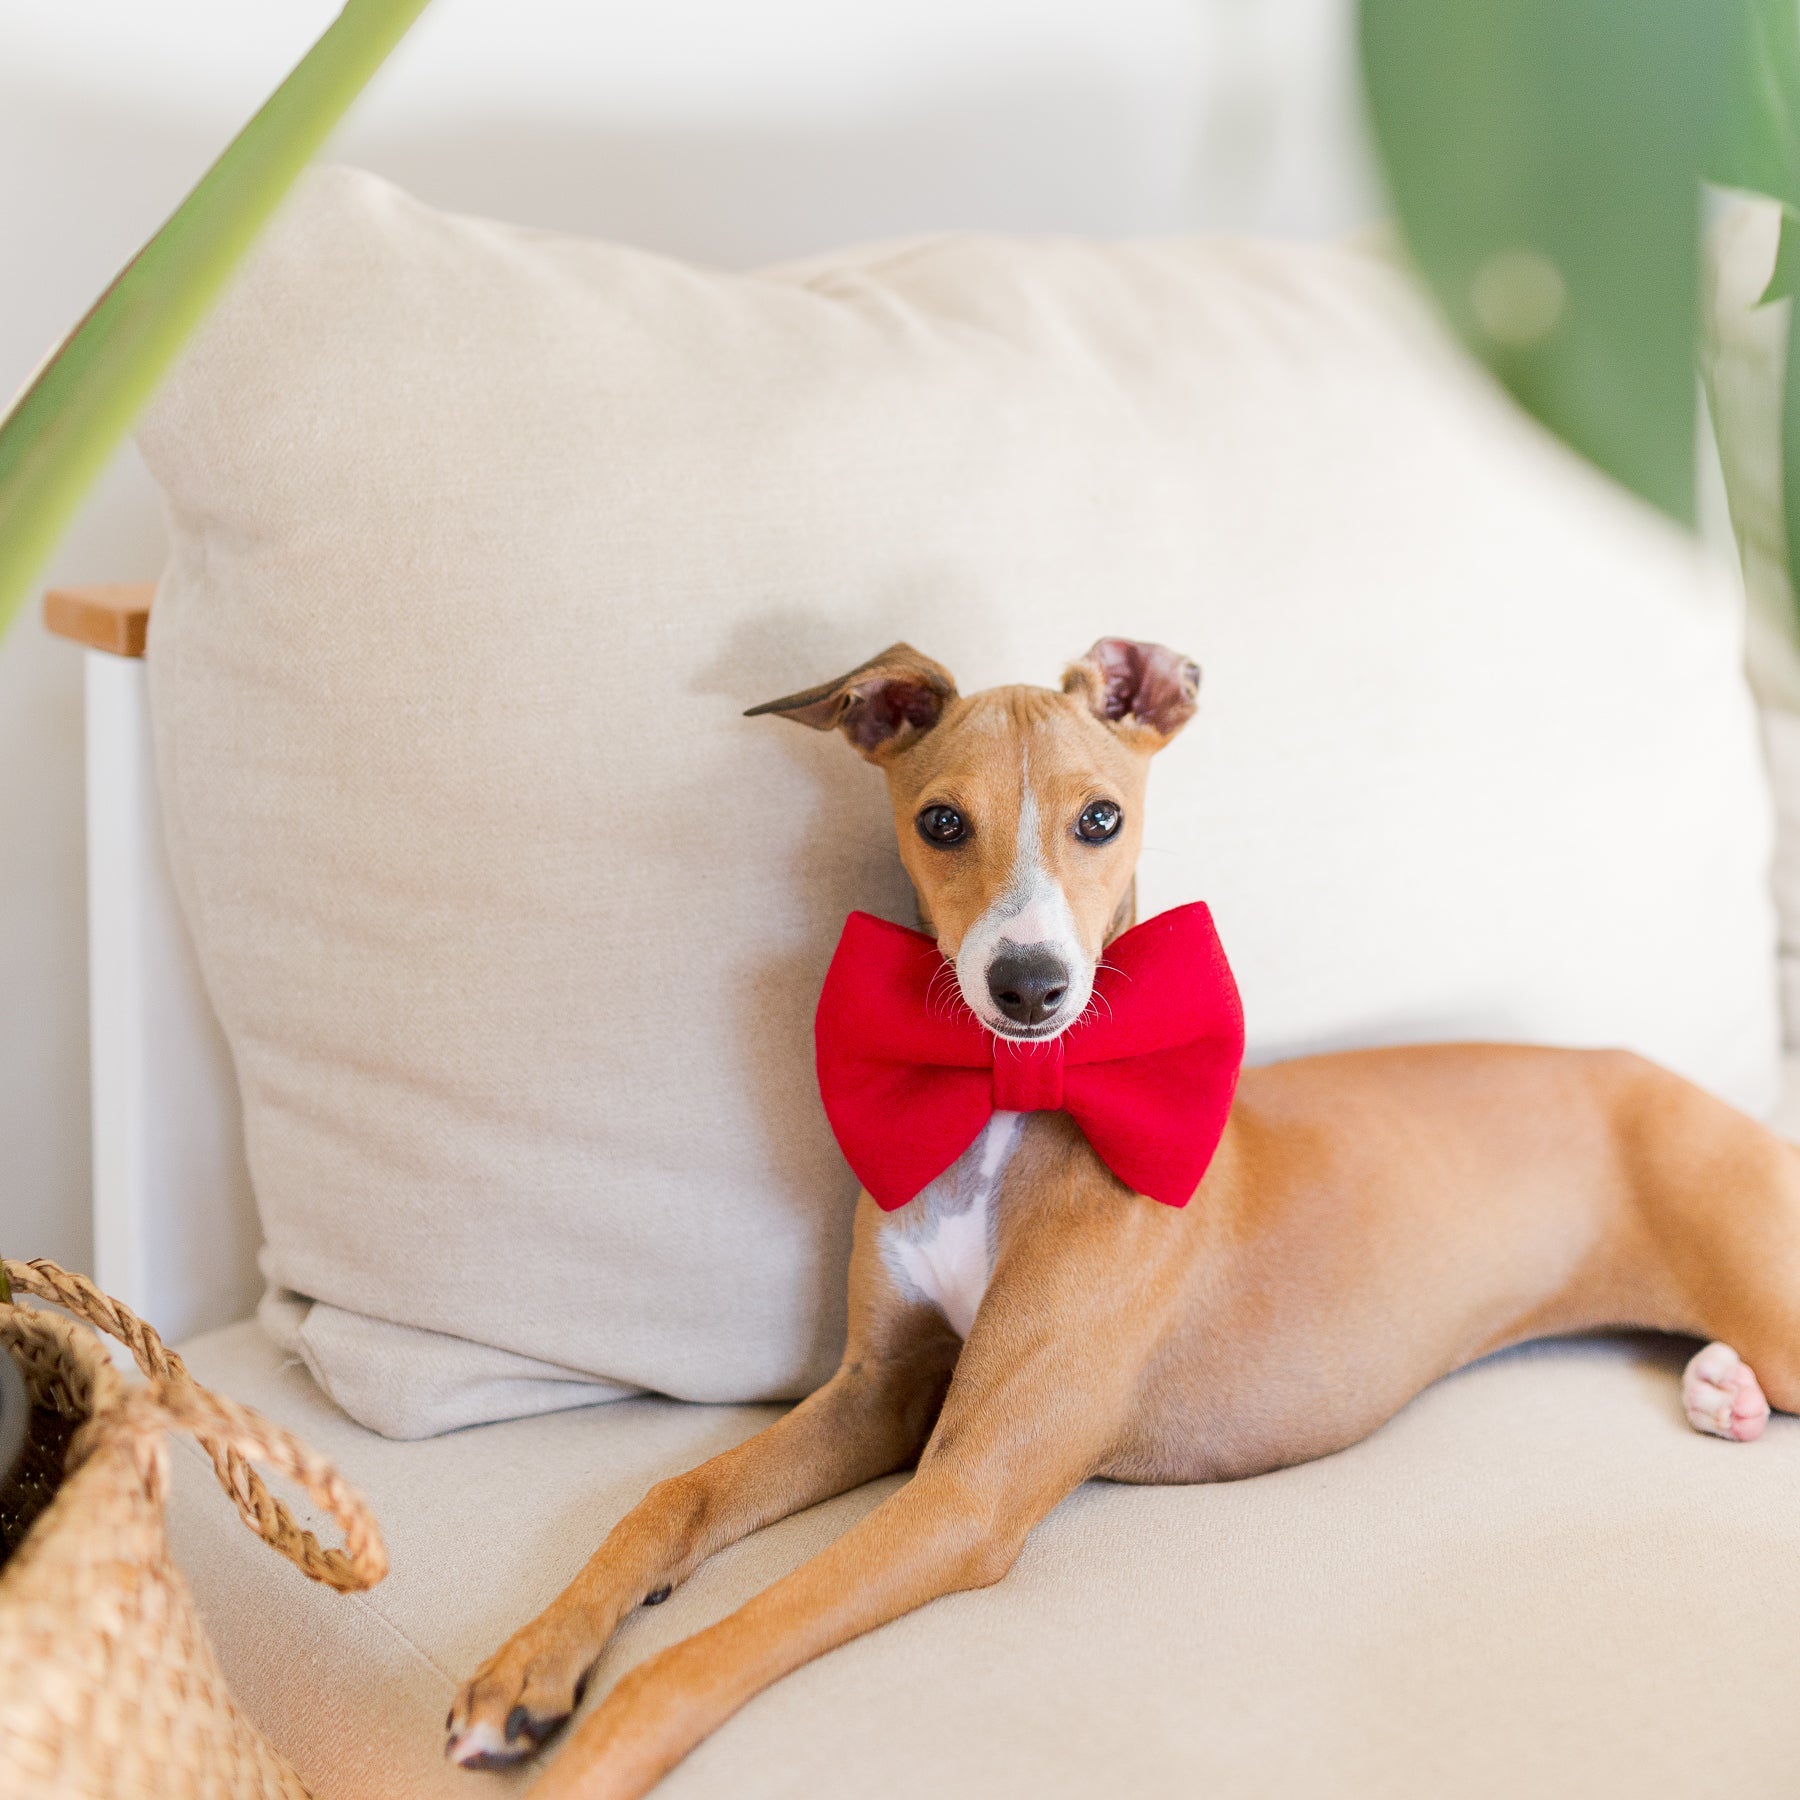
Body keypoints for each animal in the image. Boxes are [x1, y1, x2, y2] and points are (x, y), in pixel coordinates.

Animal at [446, 644, 1785, 1800]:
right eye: (941, 821)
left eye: (1100, 818)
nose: (1030, 987)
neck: (1011, 1103)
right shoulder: (880, 1390)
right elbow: (671, 1498)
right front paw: (525, 1670)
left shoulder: (968, 1490)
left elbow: (715, 1649)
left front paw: (587, 1758)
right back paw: (1718, 1392)